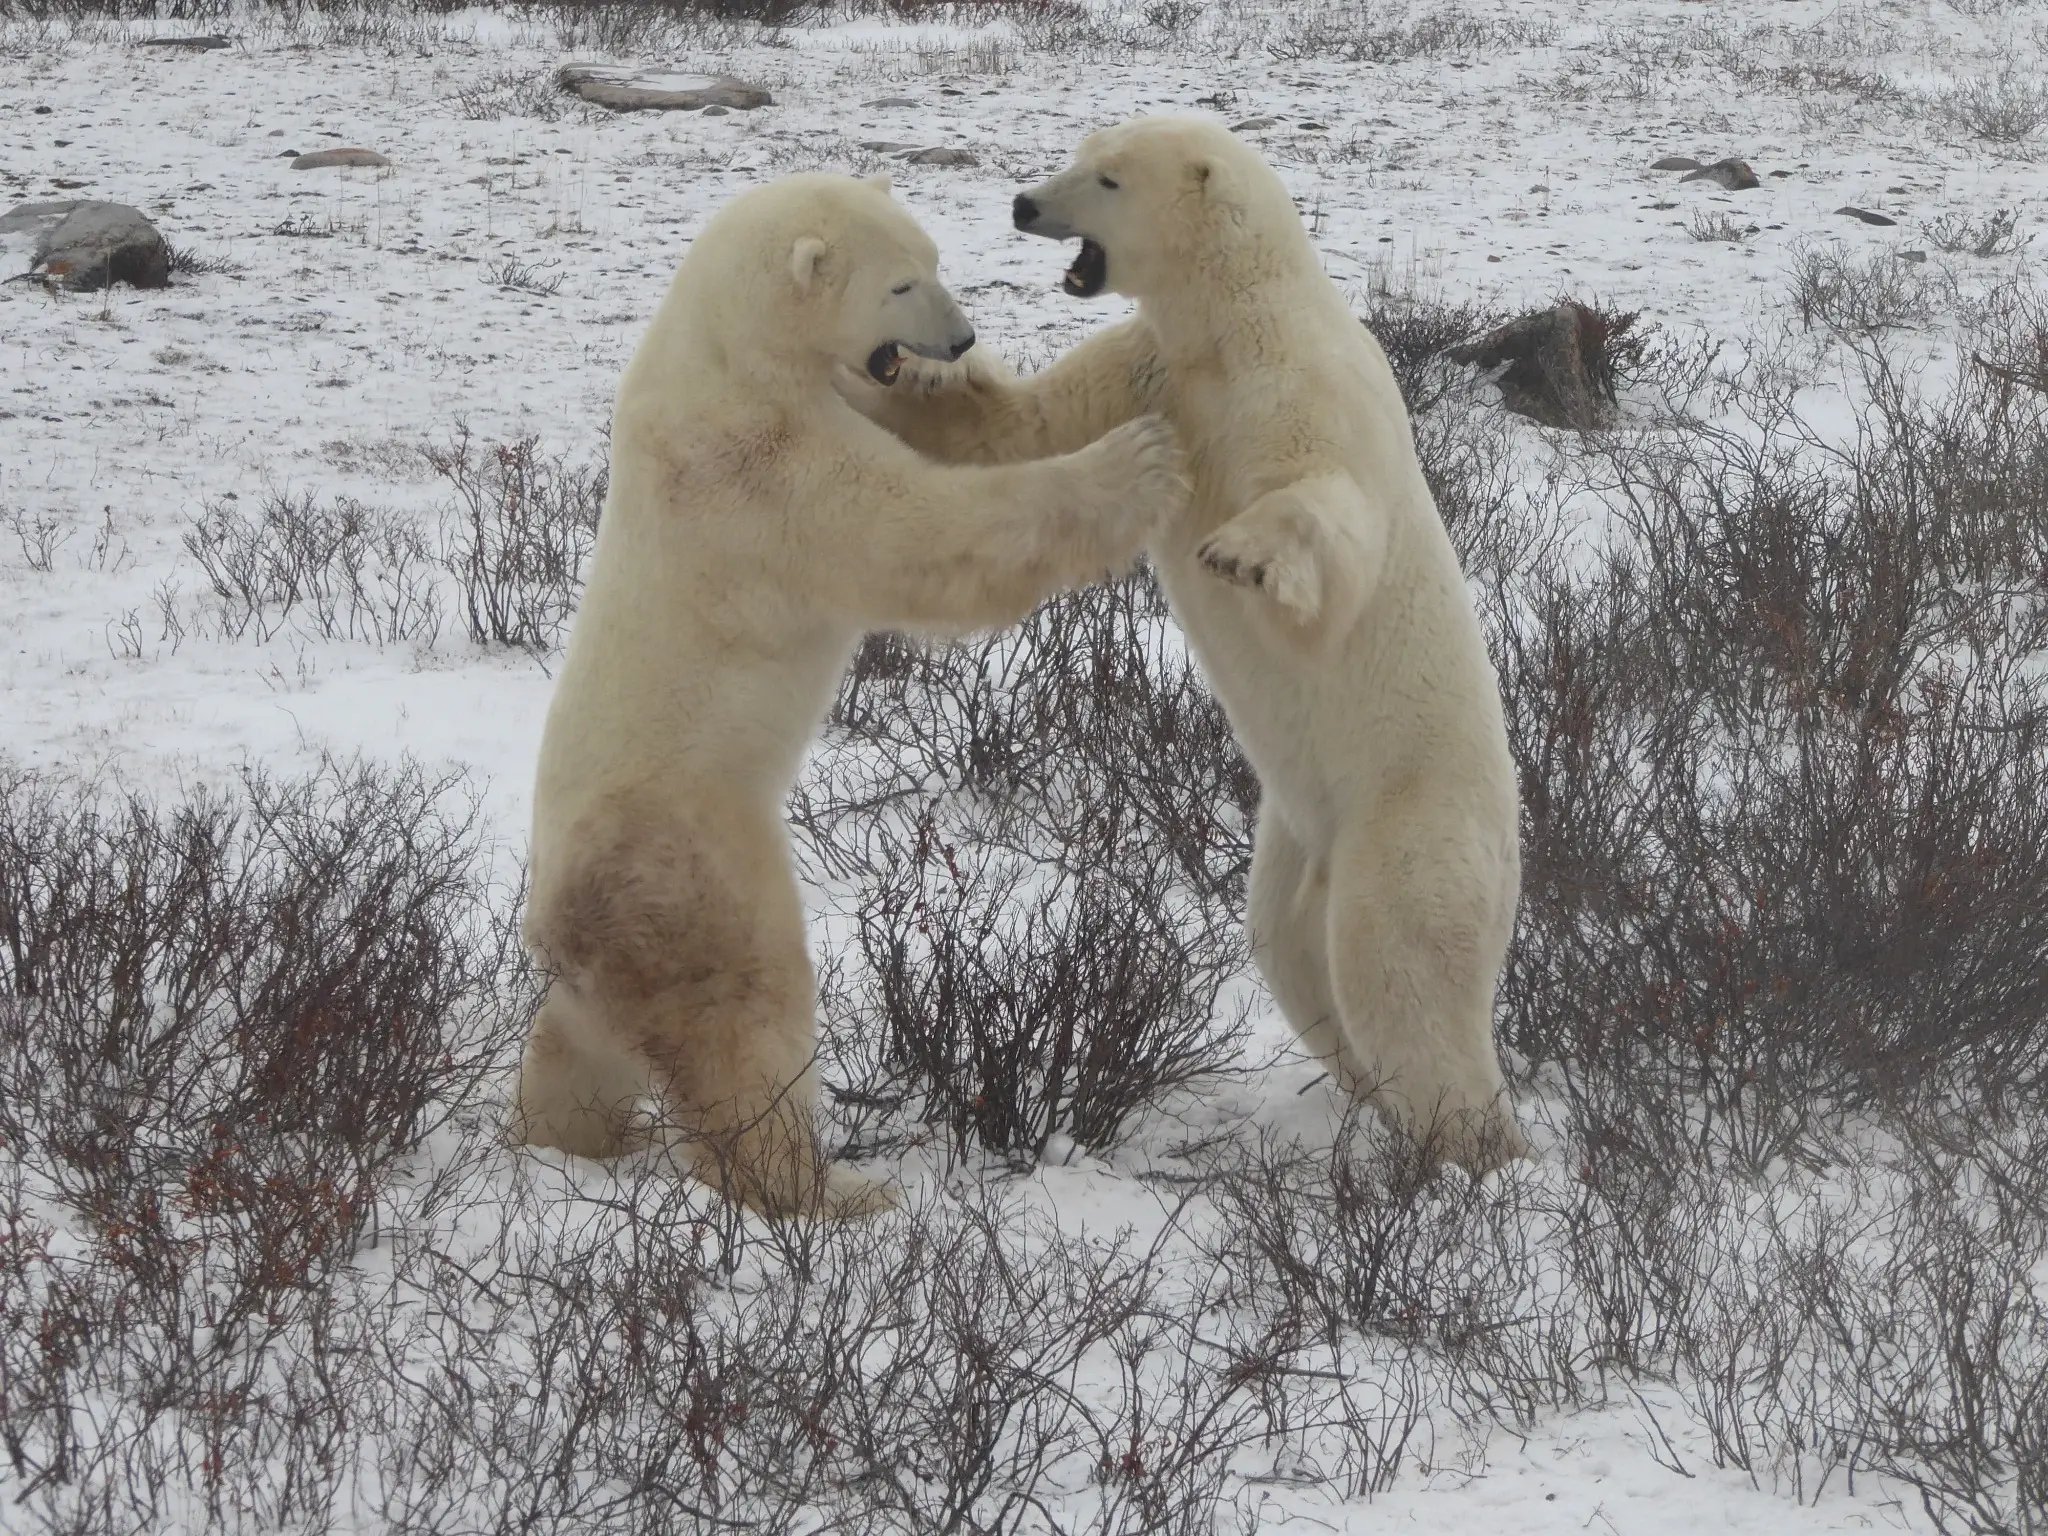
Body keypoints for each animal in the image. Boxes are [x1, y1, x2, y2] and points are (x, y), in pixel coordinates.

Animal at [511, 171, 1191, 1218]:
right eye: (902, 284)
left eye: (936, 263)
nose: (958, 339)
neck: (723, 354)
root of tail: (566, 929)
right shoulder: (762, 473)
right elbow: (923, 535)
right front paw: (1134, 458)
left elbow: (973, 441)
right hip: (694, 867)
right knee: (742, 1023)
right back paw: (829, 1188)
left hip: (600, 958)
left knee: (576, 1049)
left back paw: (562, 1139)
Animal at [841, 118, 1529, 1174]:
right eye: (1080, 155)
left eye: (1107, 179)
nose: (1023, 204)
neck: (1230, 323)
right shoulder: (1153, 365)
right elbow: (1022, 426)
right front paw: (916, 375)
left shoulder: (1299, 388)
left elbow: (1335, 519)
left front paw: (1241, 553)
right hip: (1296, 837)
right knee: (1294, 955)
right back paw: (1374, 1099)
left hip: (1413, 824)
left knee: (1401, 971)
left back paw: (1475, 1146)